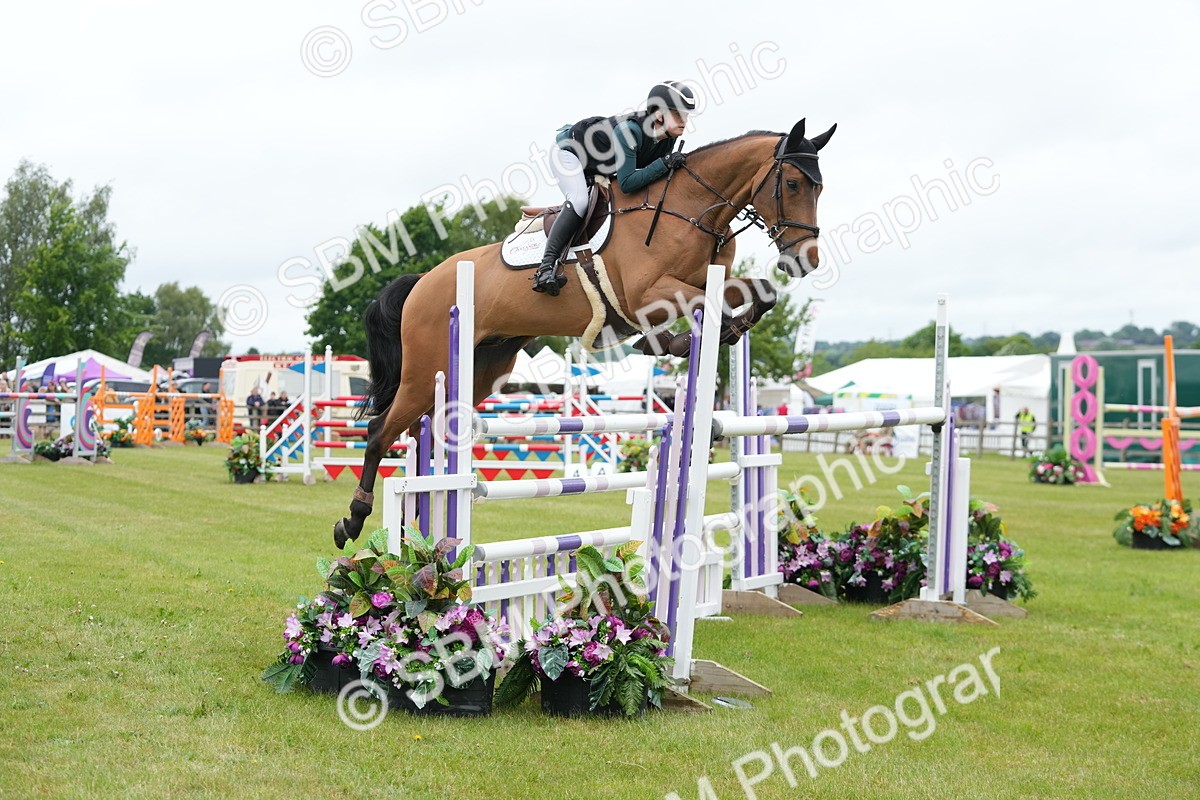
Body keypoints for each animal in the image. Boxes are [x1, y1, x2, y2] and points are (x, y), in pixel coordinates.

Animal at [332, 118, 836, 547]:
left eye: (819, 187)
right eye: (793, 184)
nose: (805, 260)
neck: (692, 209)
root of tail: (423, 282)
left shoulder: (703, 282)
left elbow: (761, 292)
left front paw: (717, 332)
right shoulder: (650, 291)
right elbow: (703, 305)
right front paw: (699, 334)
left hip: (483, 370)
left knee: (431, 433)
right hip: (426, 370)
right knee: (379, 431)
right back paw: (352, 521)